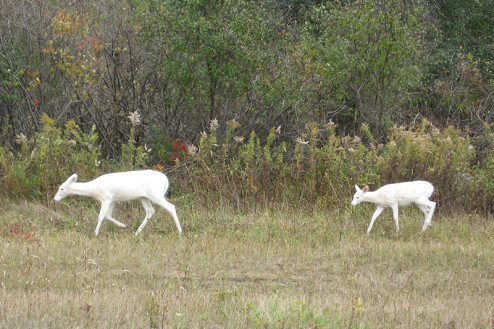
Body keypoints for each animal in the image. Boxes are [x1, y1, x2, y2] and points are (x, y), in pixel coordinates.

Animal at [53, 169, 183, 236]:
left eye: (62, 188)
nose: (55, 199)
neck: (93, 189)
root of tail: (166, 181)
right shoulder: (112, 200)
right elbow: (108, 215)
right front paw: (123, 225)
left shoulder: (106, 198)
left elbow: (101, 216)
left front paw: (95, 233)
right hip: (143, 197)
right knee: (150, 211)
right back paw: (137, 232)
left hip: (155, 194)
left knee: (171, 207)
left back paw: (180, 231)